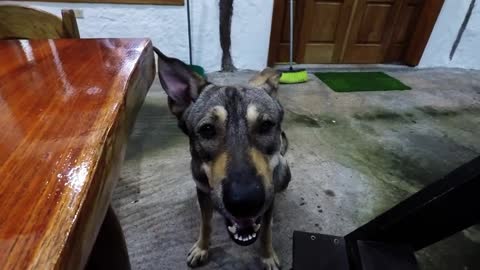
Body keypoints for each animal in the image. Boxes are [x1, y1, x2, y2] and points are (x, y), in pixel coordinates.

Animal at [154, 47, 290, 268]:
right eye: (207, 129)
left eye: (266, 125)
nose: (245, 202)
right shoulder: (202, 189)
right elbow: (205, 224)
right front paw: (202, 248)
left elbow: (266, 232)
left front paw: (268, 256)